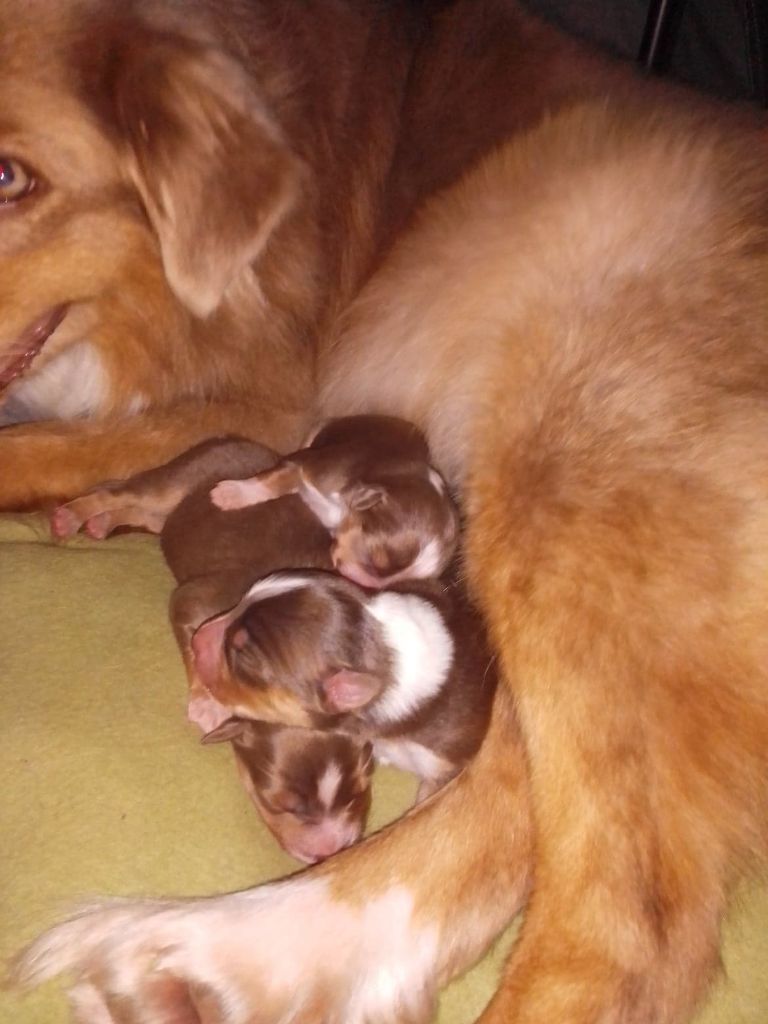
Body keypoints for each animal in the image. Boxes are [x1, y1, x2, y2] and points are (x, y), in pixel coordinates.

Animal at [210, 413, 460, 589]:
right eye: (374, 560)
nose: (363, 584)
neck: (342, 512)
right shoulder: (309, 464)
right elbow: (272, 479)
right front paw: (231, 494)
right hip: (319, 430)